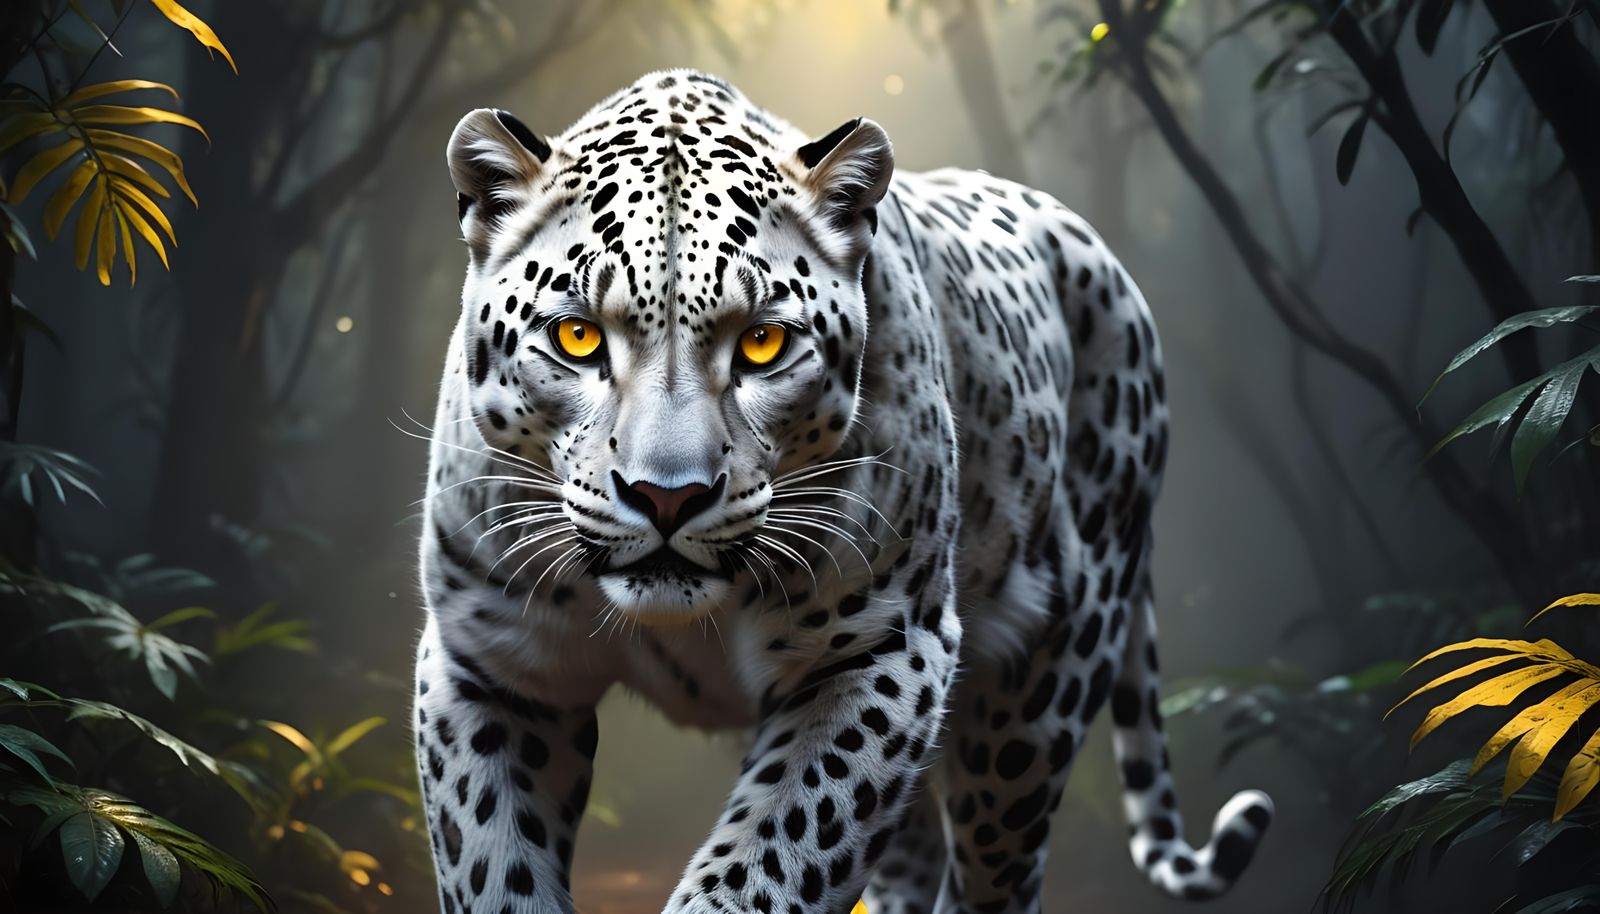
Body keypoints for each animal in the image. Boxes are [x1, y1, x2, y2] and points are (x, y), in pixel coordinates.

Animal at [412, 68, 1272, 914]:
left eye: (763, 344)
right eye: (578, 336)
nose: (667, 498)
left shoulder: (882, 648)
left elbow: (767, 866)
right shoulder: (489, 665)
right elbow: (492, 866)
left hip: (1037, 697)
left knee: (999, 873)